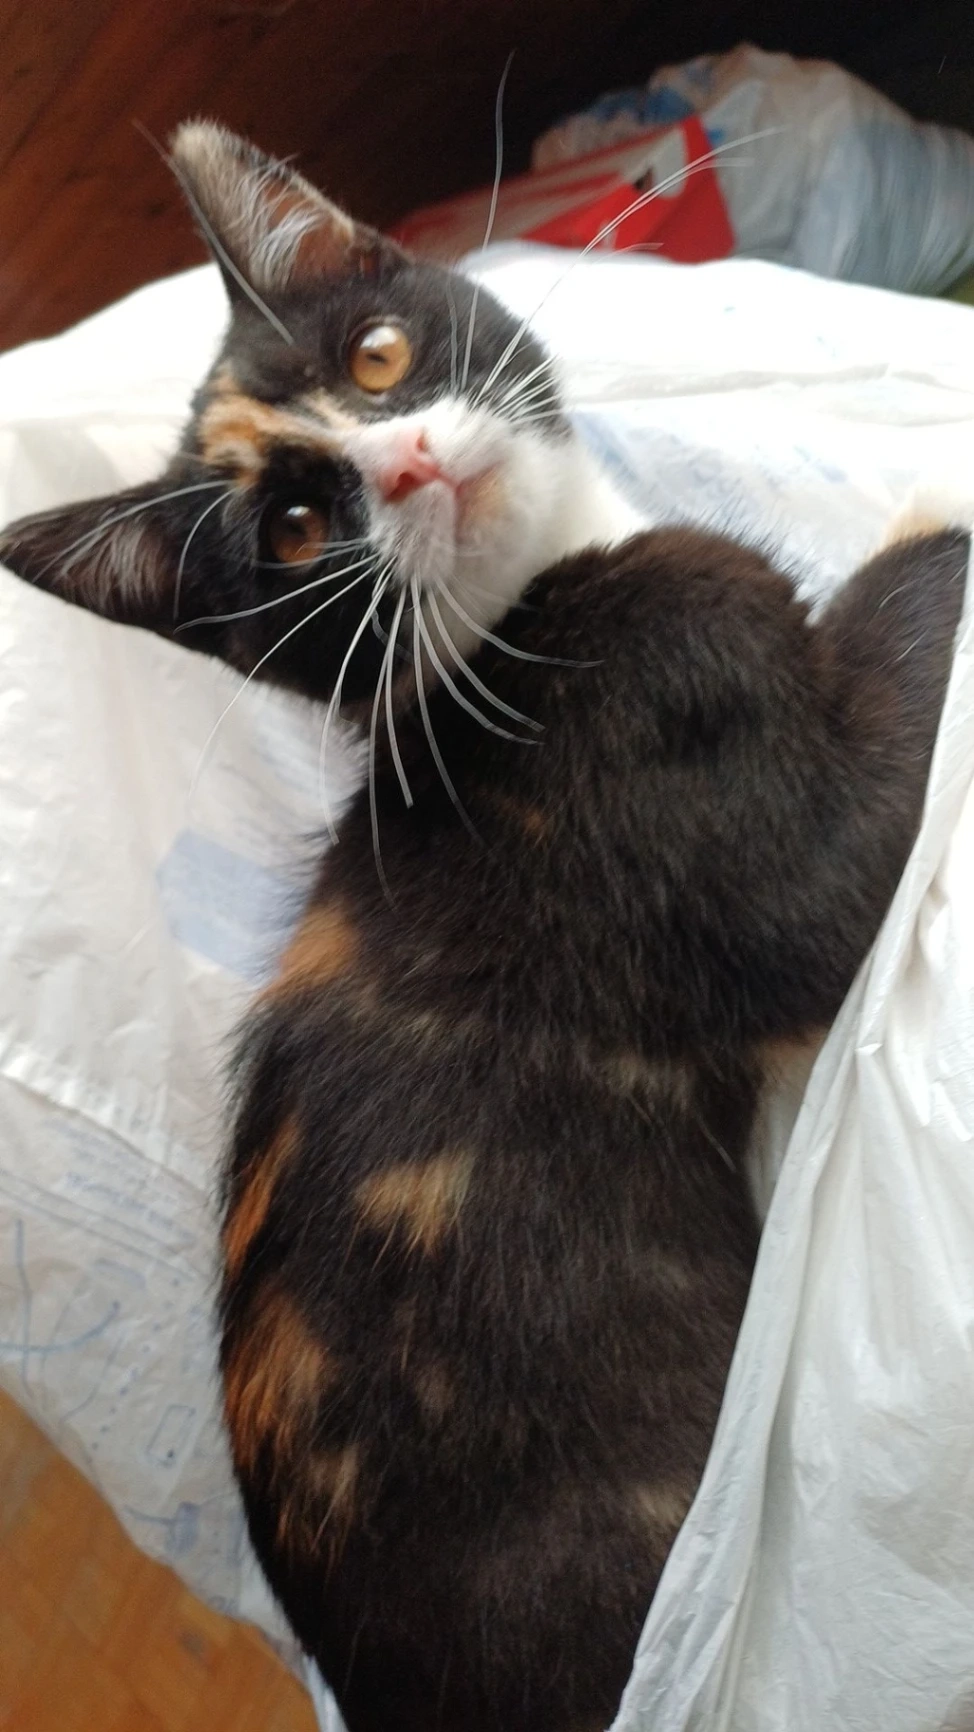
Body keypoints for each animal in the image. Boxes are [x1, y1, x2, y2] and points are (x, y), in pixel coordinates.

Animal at [0, 123, 967, 1732]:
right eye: (296, 530)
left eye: (379, 355)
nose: (407, 462)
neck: (509, 628)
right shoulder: (705, 772)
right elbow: (850, 831)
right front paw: (938, 485)